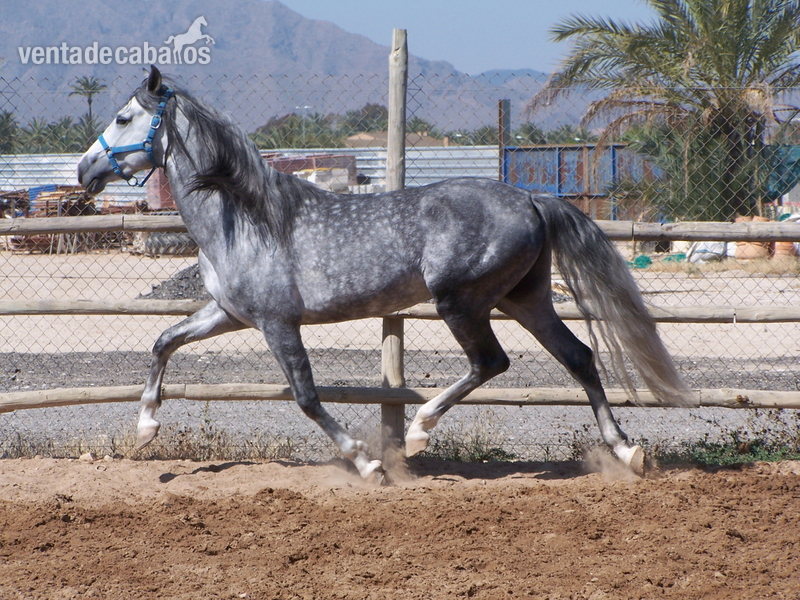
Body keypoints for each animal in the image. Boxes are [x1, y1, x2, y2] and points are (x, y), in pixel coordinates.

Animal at [77, 66, 692, 480]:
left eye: (124, 117)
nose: (84, 169)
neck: (244, 219)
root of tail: (532, 198)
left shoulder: (278, 323)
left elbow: (305, 396)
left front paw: (365, 464)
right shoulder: (229, 314)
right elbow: (163, 341)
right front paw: (146, 427)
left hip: (461, 301)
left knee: (491, 362)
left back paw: (418, 433)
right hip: (524, 298)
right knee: (579, 357)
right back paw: (628, 452)